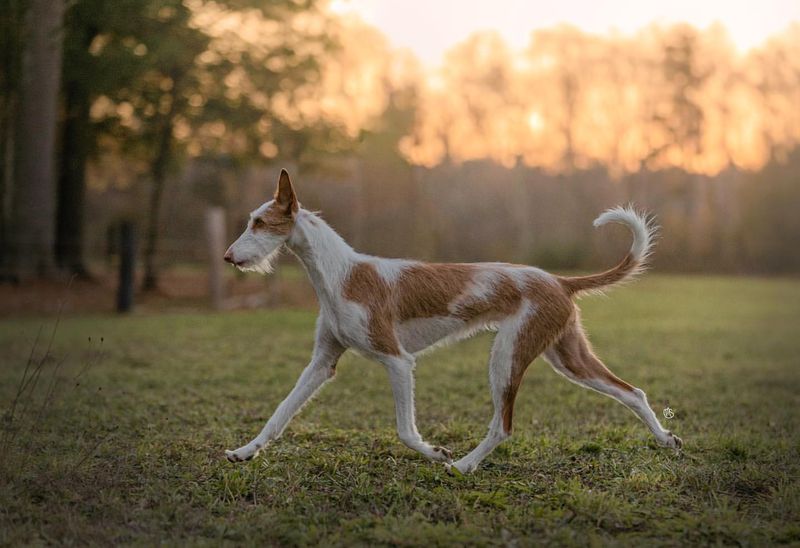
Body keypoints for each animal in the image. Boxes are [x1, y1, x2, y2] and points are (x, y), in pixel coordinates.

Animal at [223, 169, 680, 474]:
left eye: (259, 223)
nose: (227, 257)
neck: (340, 275)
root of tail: (559, 280)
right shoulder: (323, 362)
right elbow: (279, 413)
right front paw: (246, 450)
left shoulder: (397, 360)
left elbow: (405, 431)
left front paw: (435, 453)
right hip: (567, 357)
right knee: (632, 392)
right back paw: (664, 439)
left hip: (506, 358)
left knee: (503, 427)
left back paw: (462, 466)